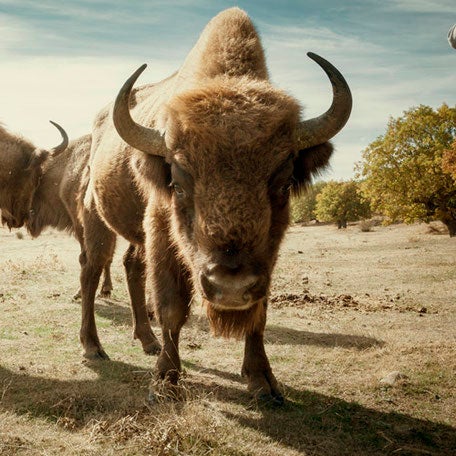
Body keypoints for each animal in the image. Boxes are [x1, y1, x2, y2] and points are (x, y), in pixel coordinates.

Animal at [80, 8, 352, 402]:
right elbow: (172, 307)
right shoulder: (162, 233)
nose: (231, 287)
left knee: (132, 267)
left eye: (284, 182)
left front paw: (262, 381)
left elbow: (259, 312)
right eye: (177, 182)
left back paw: (146, 341)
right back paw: (93, 347)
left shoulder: (267, 257)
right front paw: (165, 379)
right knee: (91, 271)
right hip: (95, 218)